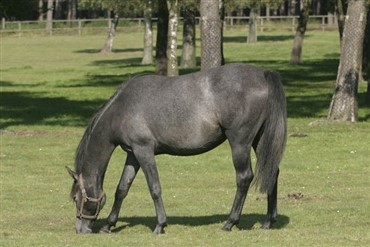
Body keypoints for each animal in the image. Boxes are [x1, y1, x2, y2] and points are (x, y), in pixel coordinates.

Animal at [67, 63, 286, 233]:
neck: (123, 108)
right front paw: (108, 225)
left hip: (239, 142)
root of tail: (263, 73)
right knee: (272, 172)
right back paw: (268, 221)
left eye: (76, 198)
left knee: (244, 177)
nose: (81, 230)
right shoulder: (133, 155)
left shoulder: (144, 151)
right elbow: (122, 189)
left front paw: (160, 225)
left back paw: (230, 222)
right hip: (260, 141)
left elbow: (154, 187)